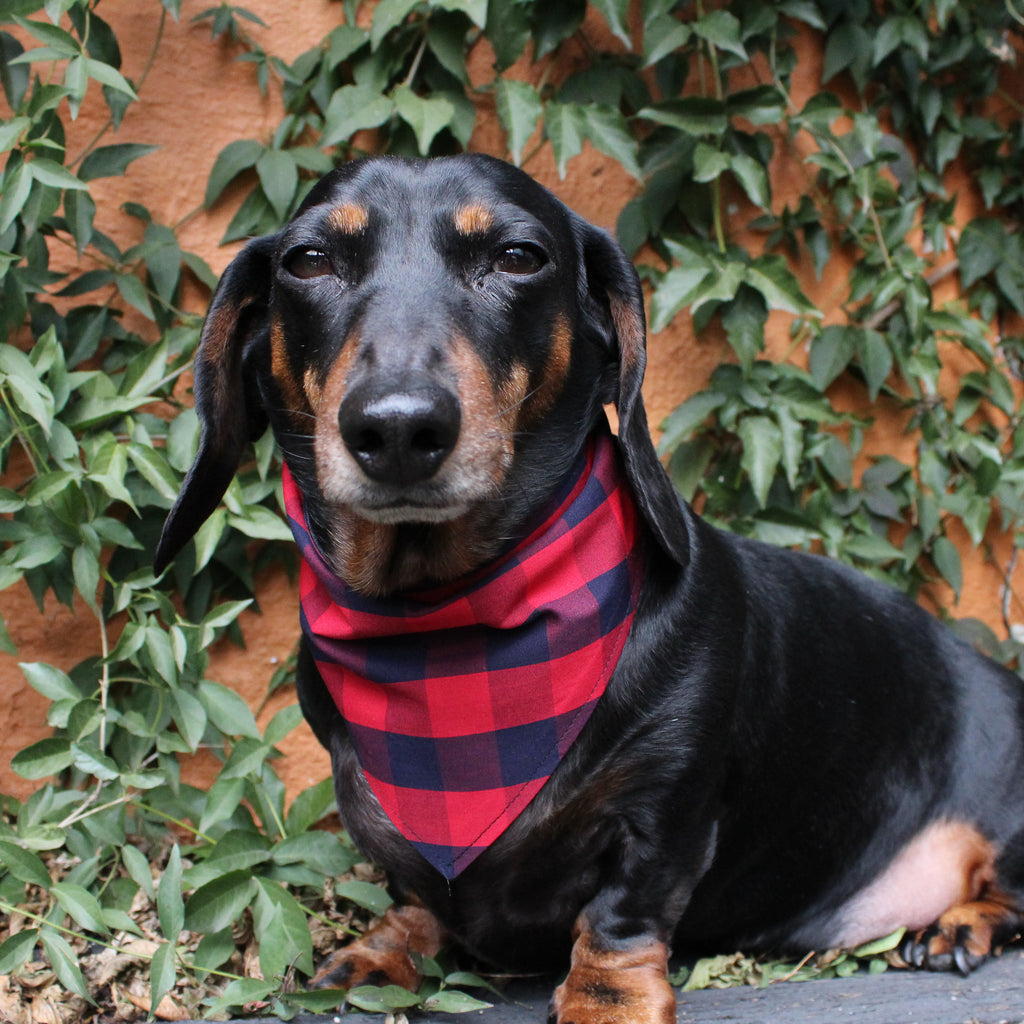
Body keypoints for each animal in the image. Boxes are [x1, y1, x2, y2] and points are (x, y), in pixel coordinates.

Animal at [155, 153, 1024, 1024]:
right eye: (307, 261)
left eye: (518, 257)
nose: (397, 427)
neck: (444, 623)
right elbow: (415, 895)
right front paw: (384, 950)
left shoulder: (665, 808)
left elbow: (623, 912)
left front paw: (608, 997)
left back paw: (960, 925)